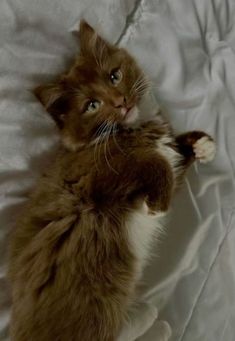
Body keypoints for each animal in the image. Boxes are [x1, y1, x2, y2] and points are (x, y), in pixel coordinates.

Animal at [8, 19, 216, 338]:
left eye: (114, 76)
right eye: (92, 105)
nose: (121, 103)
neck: (134, 129)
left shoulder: (163, 156)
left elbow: (173, 159)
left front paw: (202, 144)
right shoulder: (91, 174)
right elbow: (153, 163)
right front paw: (159, 203)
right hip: (95, 301)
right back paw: (155, 322)